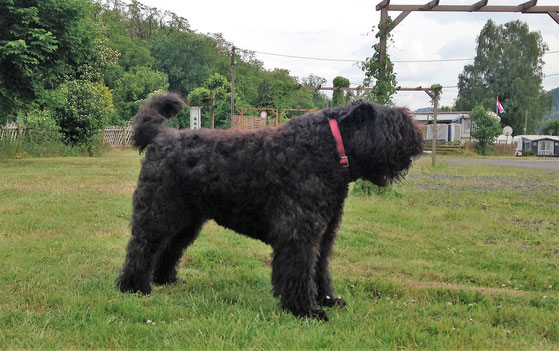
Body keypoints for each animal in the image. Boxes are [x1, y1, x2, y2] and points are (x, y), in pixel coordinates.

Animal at [118, 93, 424, 322]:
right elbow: (300, 271)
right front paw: (305, 310)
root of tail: (161, 137)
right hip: (158, 211)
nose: (417, 140)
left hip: (187, 220)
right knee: (142, 246)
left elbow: (320, 269)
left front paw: (328, 299)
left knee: (169, 248)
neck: (326, 149)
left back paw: (165, 279)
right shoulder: (299, 233)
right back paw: (134, 287)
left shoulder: (324, 233)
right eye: (393, 124)